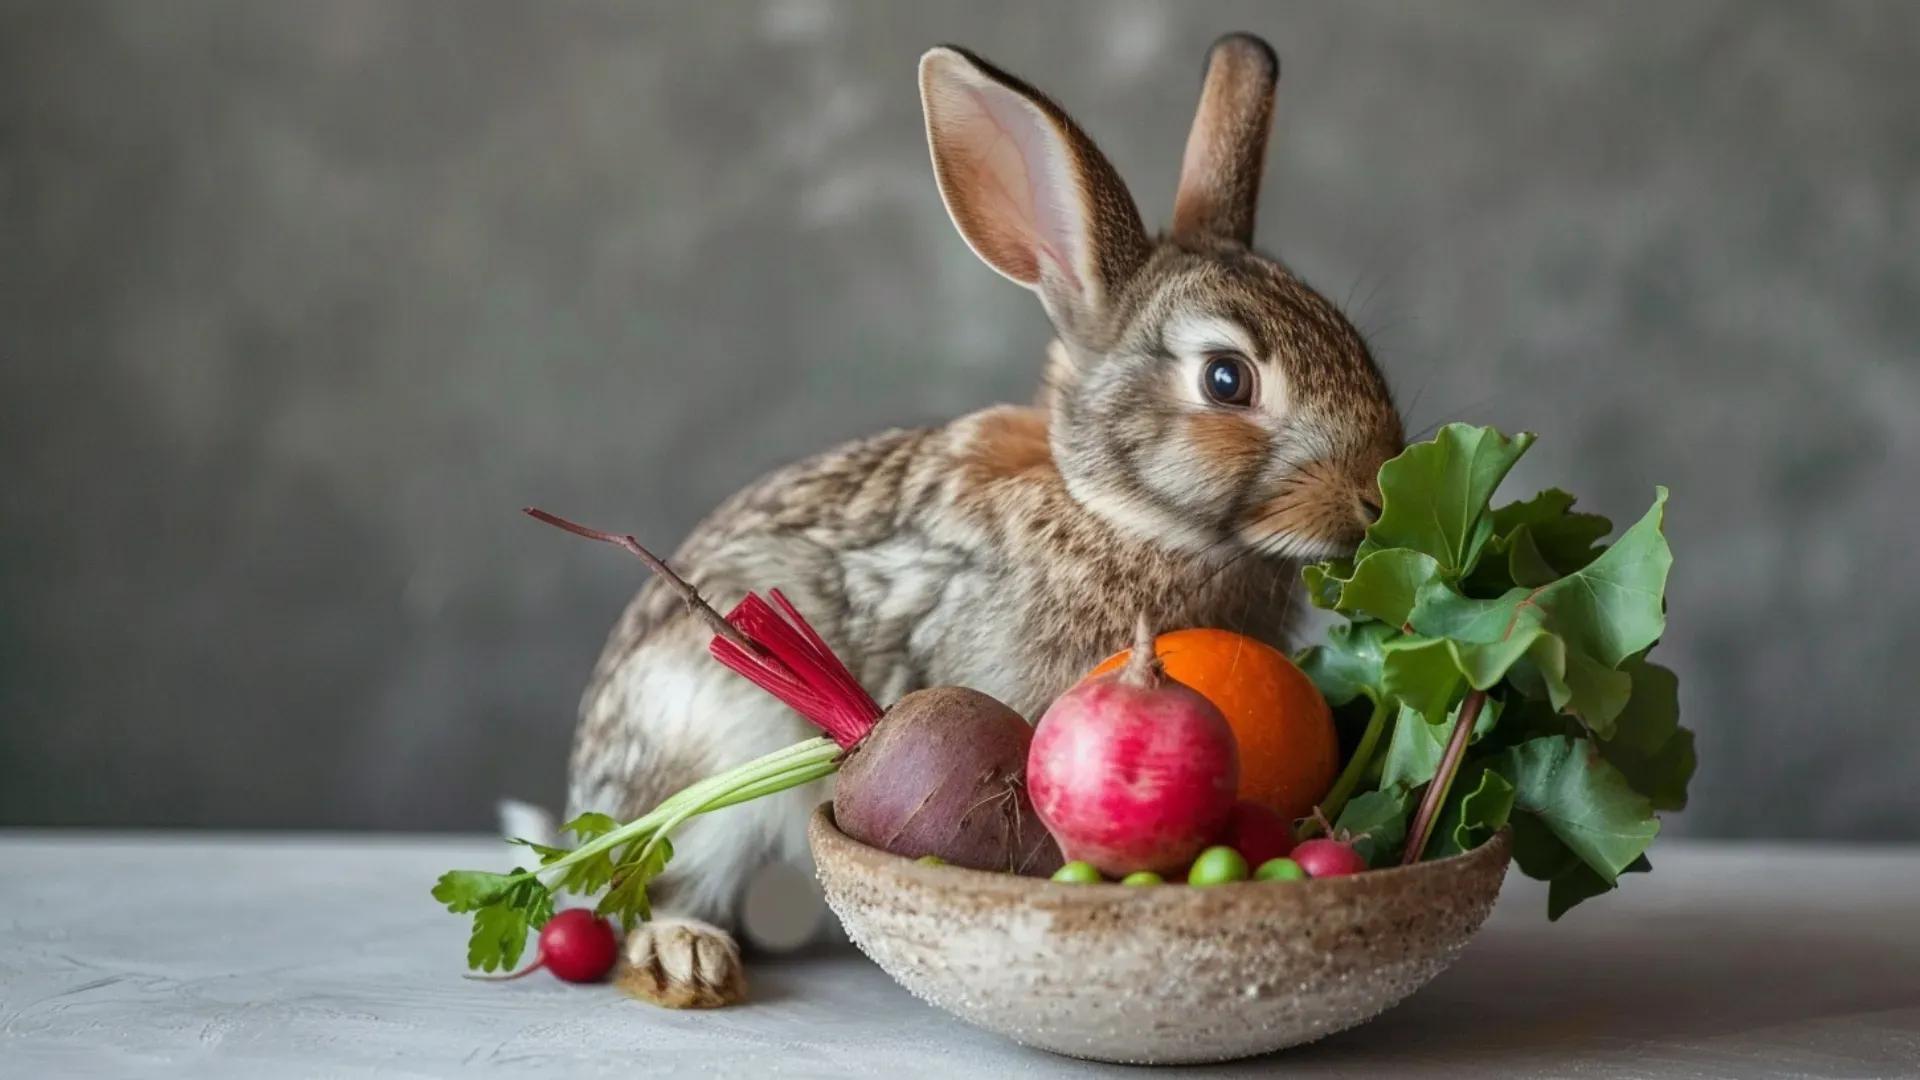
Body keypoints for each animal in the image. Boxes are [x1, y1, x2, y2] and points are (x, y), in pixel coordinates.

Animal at [560, 35, 1405, 1006]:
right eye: (1227, 380)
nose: (1375, 494)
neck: (1118, 510)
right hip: (713, 754)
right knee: (656, 876)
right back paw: (687, 954)